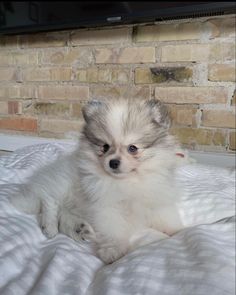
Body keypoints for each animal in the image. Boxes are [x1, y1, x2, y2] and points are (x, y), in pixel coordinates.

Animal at [9, 98, 190, 264]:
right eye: (105, 147)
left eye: (132, 148)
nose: (113, 162)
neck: (129, 181)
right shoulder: (106, 207)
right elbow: (112, 229)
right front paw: (113, 250)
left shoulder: (156, 198)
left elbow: (166, 216)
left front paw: (177, 231)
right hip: (62, 183)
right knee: (49, 201)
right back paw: (50, 227)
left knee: (63, 213)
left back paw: (78, 229)